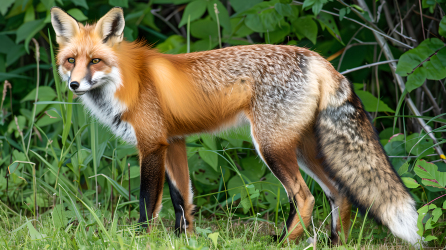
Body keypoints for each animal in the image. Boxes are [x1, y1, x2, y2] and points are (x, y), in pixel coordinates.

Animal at [52, 6, 422, 245]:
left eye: (95, 61)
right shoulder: (175, 142)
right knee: (339, 193)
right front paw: (183, 239)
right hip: (305, 150)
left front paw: (142, 239)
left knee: (305, 198)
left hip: (271, 147)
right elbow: (182, 200)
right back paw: (334, 243)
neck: (128, 80)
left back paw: (283, 242)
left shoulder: (153, 144)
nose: (74, 85)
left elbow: (147, 202)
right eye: (70, 60)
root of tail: (318, 58)